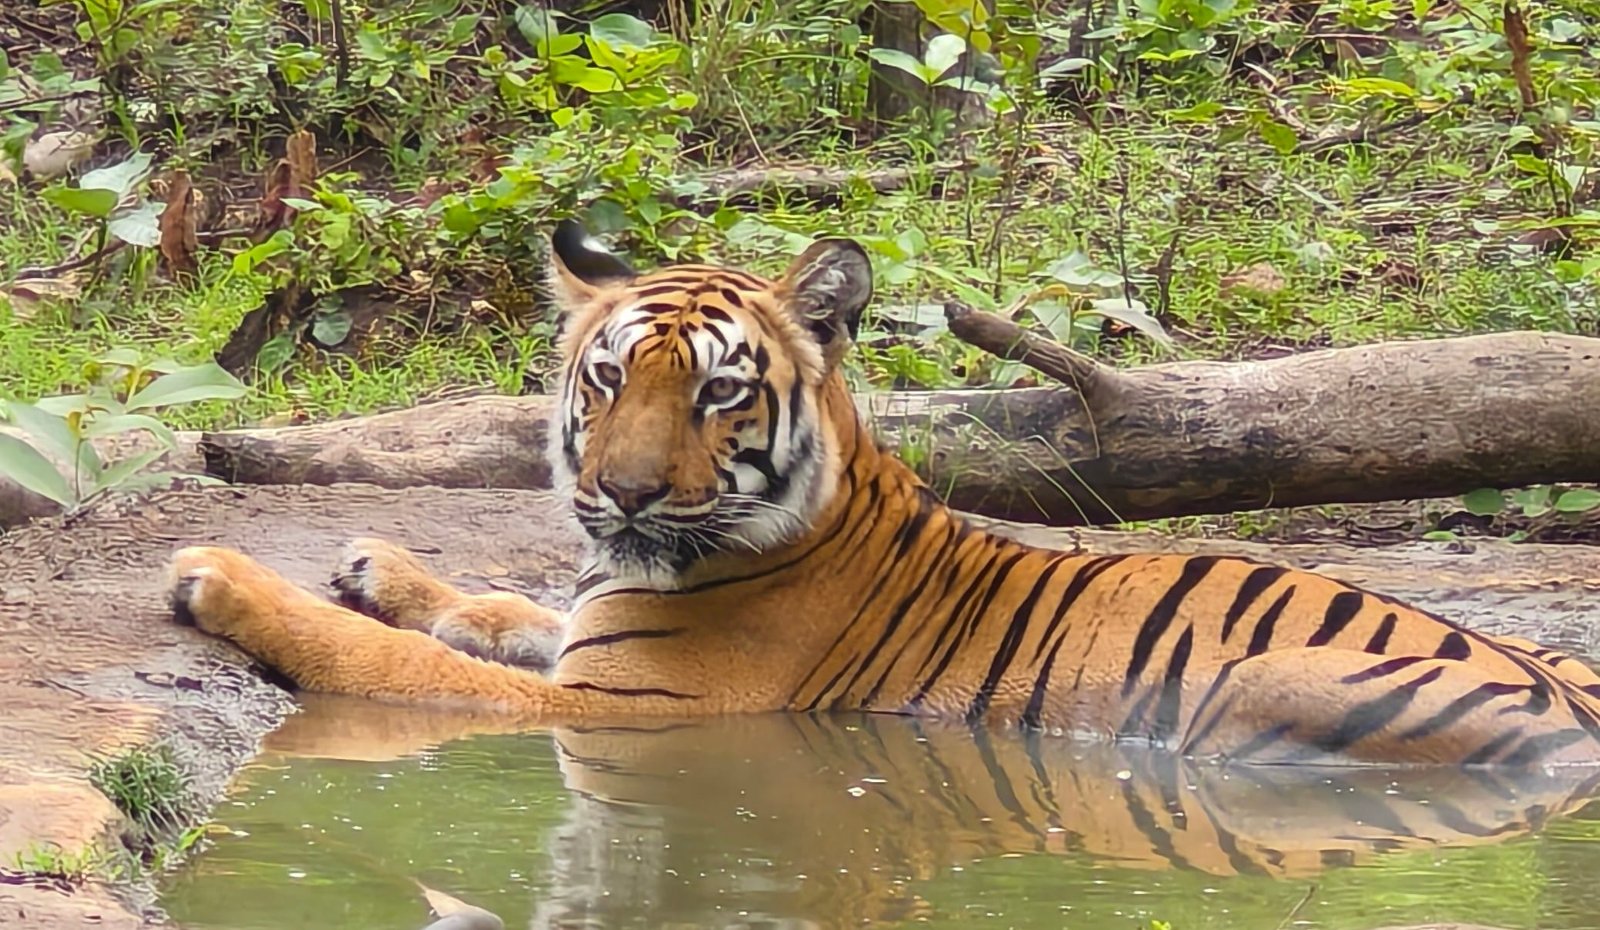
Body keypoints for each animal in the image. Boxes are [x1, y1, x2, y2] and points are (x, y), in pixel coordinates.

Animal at [167, 220, 1600, 767]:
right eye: (609, 377)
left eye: (719, 394)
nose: (621, 496)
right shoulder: (590, 629)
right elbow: (504, 602)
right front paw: (380, 563)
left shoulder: (620, 705)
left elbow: (398, 662)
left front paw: (225, 577)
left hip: (1253, 692)